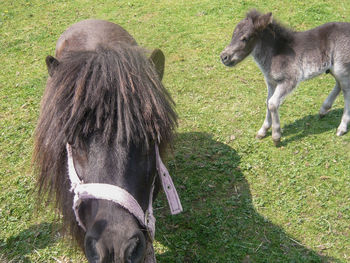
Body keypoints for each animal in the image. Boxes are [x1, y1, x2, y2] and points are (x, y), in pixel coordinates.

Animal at [221, 9, 350, 145]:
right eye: (233, 35)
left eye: (245, 38)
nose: (224, 57)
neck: (275, 54)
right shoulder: (271, 82)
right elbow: (267, 101)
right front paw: (263, 130)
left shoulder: (289, 80)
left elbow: (272, 103)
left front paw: (276, 135)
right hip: (334, 69)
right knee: (339, 84)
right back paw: (323, 110)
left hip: (341, 67)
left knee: (346, 90)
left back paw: (342, 127)